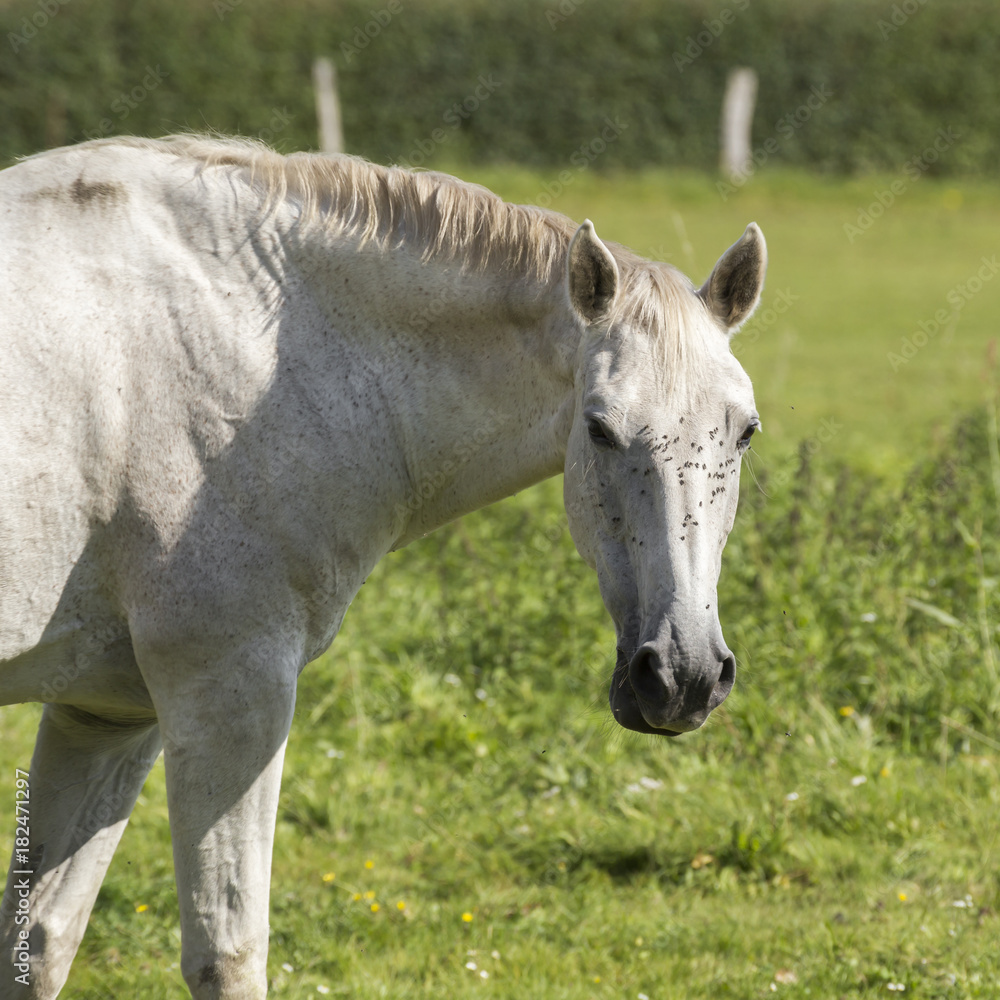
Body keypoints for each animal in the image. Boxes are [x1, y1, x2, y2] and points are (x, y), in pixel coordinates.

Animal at [0, 135, 765, 998]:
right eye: (600, 429)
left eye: (744, 431)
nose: (684, 675)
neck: (263, 358)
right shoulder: (231, 695)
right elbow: (228, 953)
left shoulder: (106, 715)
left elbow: (38, 944)